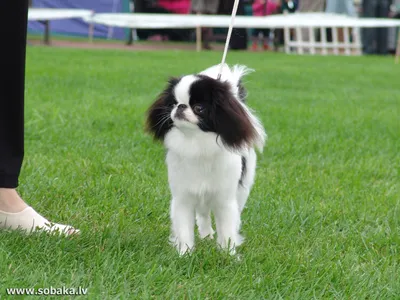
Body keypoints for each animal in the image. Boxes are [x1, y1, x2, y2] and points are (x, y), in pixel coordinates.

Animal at [145, 63, 268, 255]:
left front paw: (228, 254)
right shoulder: (183, 198)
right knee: (203, 215)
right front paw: (185, 254)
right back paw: (206, 235)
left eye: (199, 108)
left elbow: (227, 230)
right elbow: (184, 229)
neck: (196, 143)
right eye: (173, 104)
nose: (180, 106)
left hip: (242, 191)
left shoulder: (225, 200)